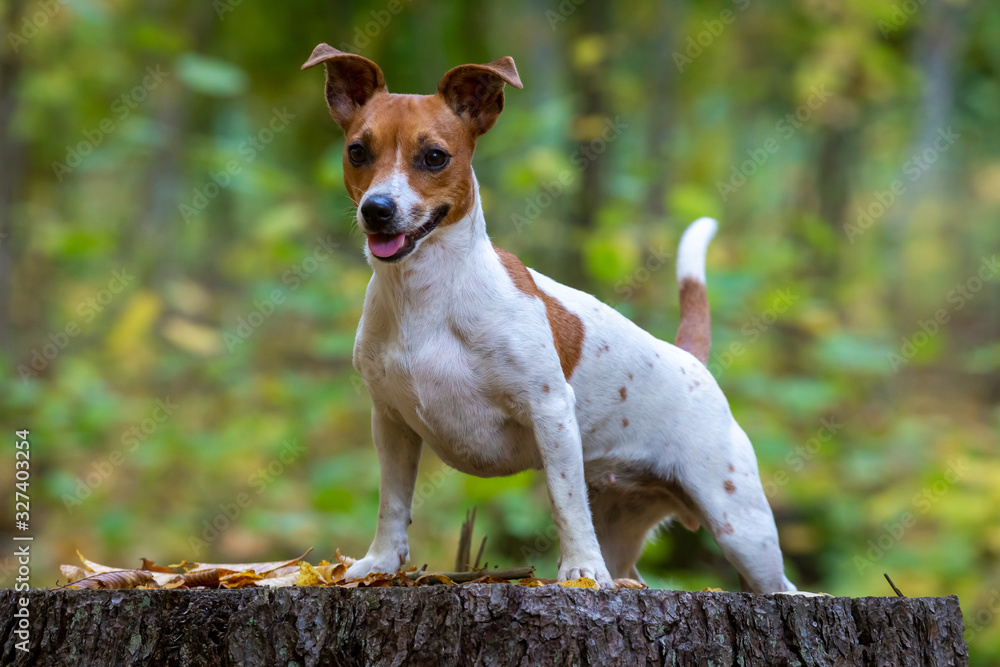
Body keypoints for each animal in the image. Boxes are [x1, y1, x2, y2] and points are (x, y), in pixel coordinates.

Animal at [302, 44, 796, 592]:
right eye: (357, 152)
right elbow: (392, 502)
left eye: (434, 156)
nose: (378, 209)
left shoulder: (550, 412)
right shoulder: (391, 423)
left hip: (741, 526)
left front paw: (581, 570)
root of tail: (690, 360)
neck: (426, 297)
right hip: (624, 520)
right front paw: (381, 564)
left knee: (785, 586)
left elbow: (564, 500)